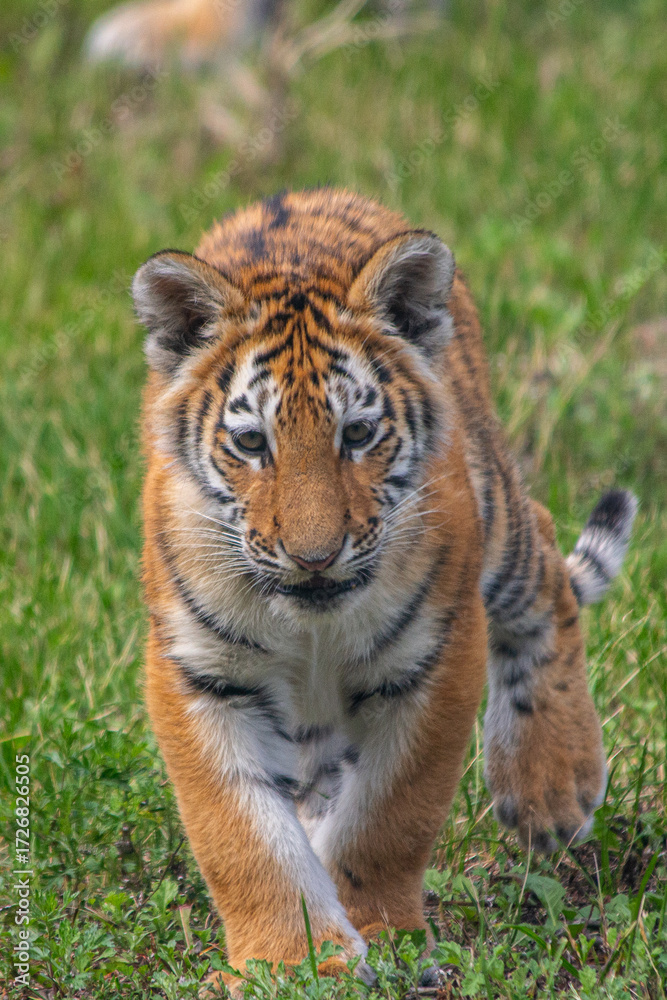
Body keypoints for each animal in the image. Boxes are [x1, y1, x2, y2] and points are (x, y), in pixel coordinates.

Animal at [133, 187, 637, 989]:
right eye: (252, 443)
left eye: (359, 434)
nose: (314, 558)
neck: (309, 622)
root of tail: (309, 191)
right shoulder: (200, 675)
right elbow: (242, 837)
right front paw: (290, 961)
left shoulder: (434, 657)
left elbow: (390, 816)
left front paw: (379, 932)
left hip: (495, 514)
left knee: (545, 558)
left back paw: (551, 788)